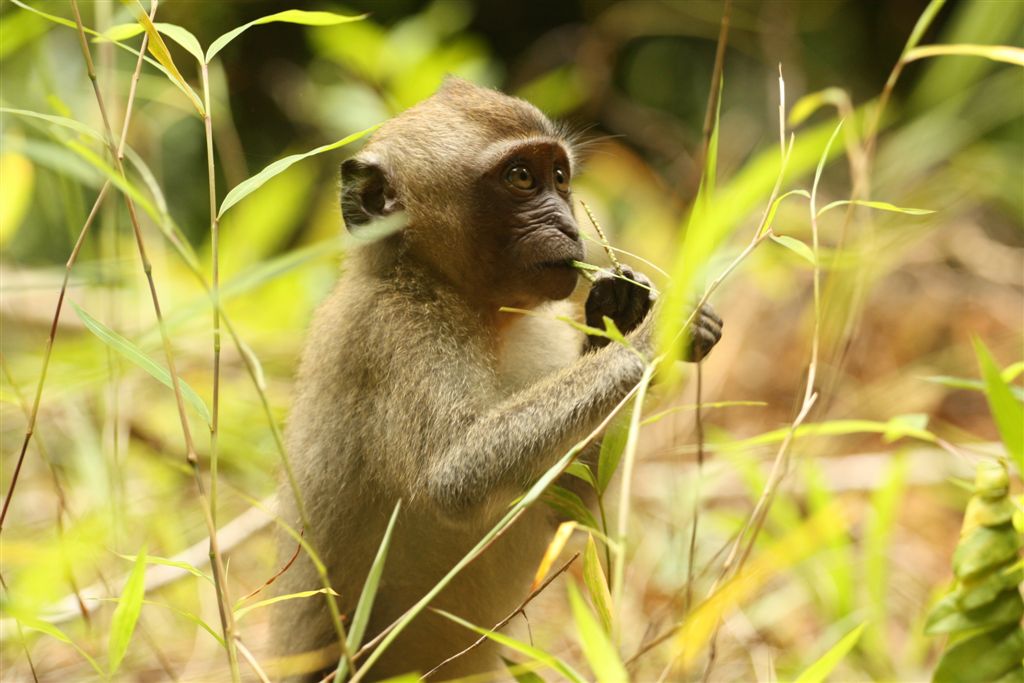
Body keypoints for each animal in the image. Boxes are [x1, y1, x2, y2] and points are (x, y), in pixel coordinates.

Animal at [270, 77, 720, 679]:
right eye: (522, 178)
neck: (464, 299)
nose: (569, 225)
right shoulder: (397, 330)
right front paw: (650, 335)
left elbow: (571, 497)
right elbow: (454, 474)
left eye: (560, 177)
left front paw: (616, 313)